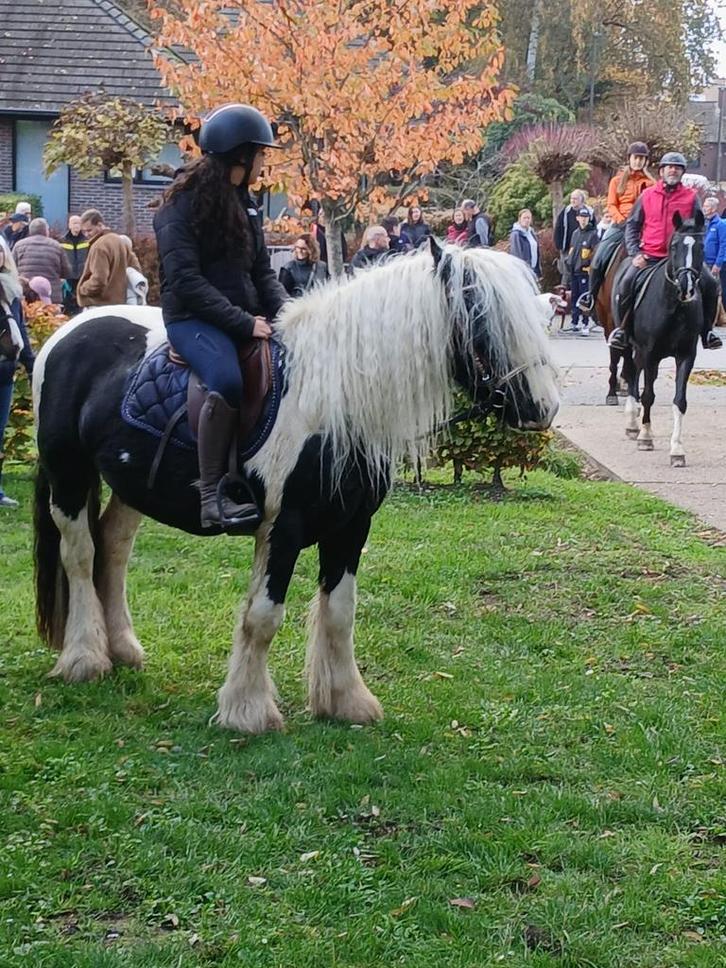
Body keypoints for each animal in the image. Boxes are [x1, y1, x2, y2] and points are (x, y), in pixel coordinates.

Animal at [32, 238, 559, 735]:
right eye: (481, 319)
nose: (544, 409)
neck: (334, 398)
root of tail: (66, 332)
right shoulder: (282, 527)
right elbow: (263, 616)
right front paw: (247, 710)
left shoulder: (351, 526)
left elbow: (340, 612)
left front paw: (346, 701)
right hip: (68, 472)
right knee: (79, 553)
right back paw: (85, 658)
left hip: (132, 485)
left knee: (113, 546)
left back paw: (122, 648)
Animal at [617, 211, 717, 466]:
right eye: (673, 246)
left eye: (701, 246)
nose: (686, 288)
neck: (674, 308)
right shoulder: (650, 353)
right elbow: (648, 396)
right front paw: (645, 437)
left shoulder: (686, 356)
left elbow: (679, 401)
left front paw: (677, 450)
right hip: (630, 346)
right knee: (631, 373)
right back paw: (632, 424)